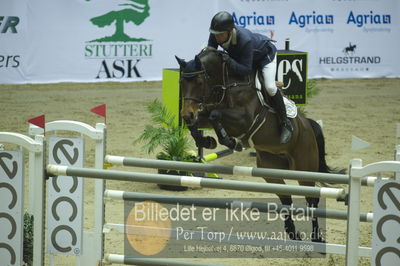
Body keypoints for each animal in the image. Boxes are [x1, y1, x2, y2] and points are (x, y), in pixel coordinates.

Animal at [176, 46, 344, 242]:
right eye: (181, 82)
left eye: (199, 82)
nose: (187, 114)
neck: (227, 83)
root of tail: (308, 124)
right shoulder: (206, 114)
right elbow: (201, 121)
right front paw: (207, 141)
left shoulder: (243, 119)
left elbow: (215, 115)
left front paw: (230, 141)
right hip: (270, 170)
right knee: (286, 199)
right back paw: (292, 233)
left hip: (305, 168)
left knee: (312, 200)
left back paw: (316, 237)